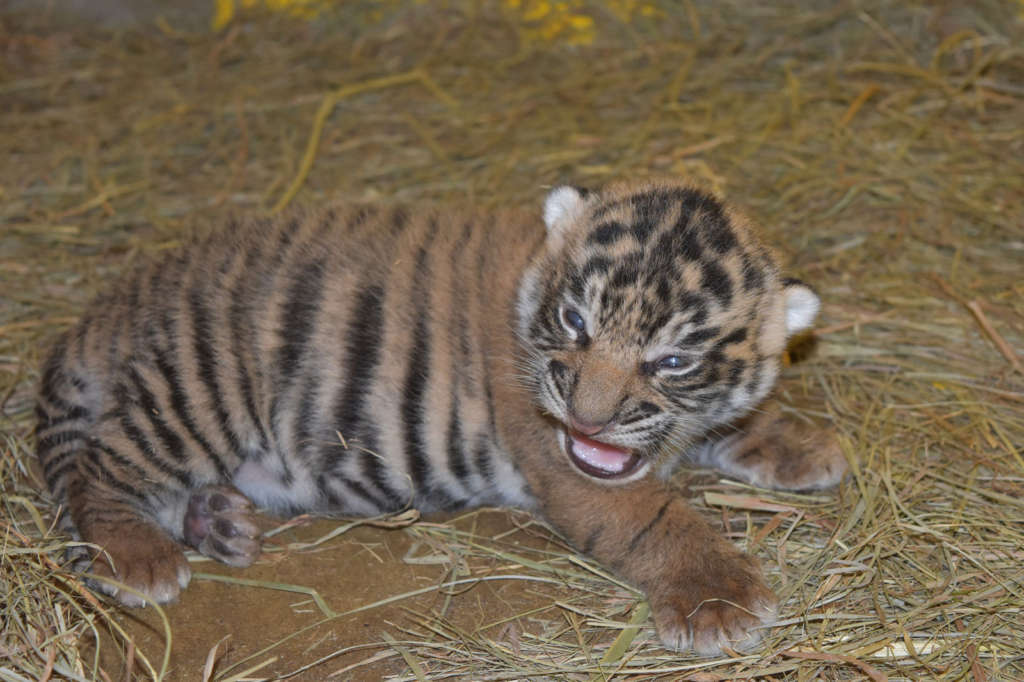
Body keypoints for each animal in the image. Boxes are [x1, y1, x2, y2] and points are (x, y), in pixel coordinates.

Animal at [34, 178, 846, 655]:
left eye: (672, 361)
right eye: (575, 322)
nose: (587, 419)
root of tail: (120, 297)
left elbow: (737, 422)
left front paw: (808, 447)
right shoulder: (568, 462)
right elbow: (656, 518)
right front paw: (720, 602)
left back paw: (220, 523)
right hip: (203, 388)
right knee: (101, 465)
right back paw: (140, 559)